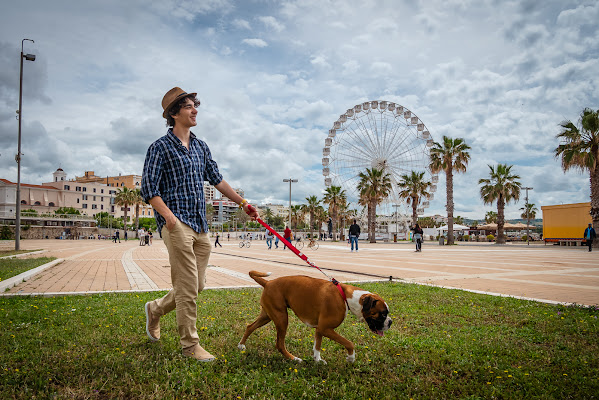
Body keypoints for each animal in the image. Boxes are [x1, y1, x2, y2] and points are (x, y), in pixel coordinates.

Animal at [239, 270, 394, 364]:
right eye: (383, 314)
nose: (390, 322)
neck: (345, 297)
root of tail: (268, 282)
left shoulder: (320, 329)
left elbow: (317, 346)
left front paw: (318, 360)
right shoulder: (326, 328)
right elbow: (349, 343)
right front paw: (351, 358)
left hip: (268, 315)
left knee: (250, 326)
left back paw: (241, 345)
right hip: (281, 318)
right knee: (279, 344)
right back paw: (294, 359)